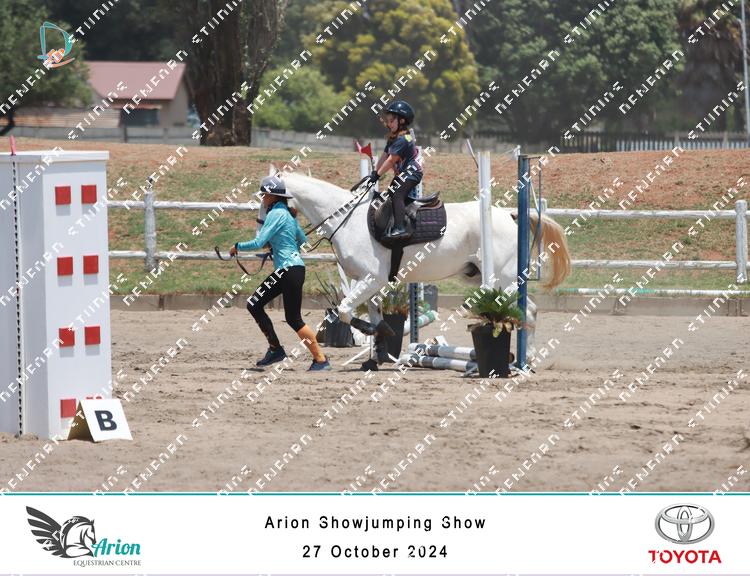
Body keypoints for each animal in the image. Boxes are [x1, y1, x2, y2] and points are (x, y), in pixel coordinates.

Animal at [275, 167, 572, 363]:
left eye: (269, 199)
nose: (265, 227)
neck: (347, 220)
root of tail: (508, 215)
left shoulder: (372, 278)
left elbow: (346, 310)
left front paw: (372, 334)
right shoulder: (368, 282)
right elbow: (373, 312)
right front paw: (379, 351)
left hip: (501, 279)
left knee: (527, 311)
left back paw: (526, 358)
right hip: (485, 278)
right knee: (528, 309)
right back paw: (526, 357)